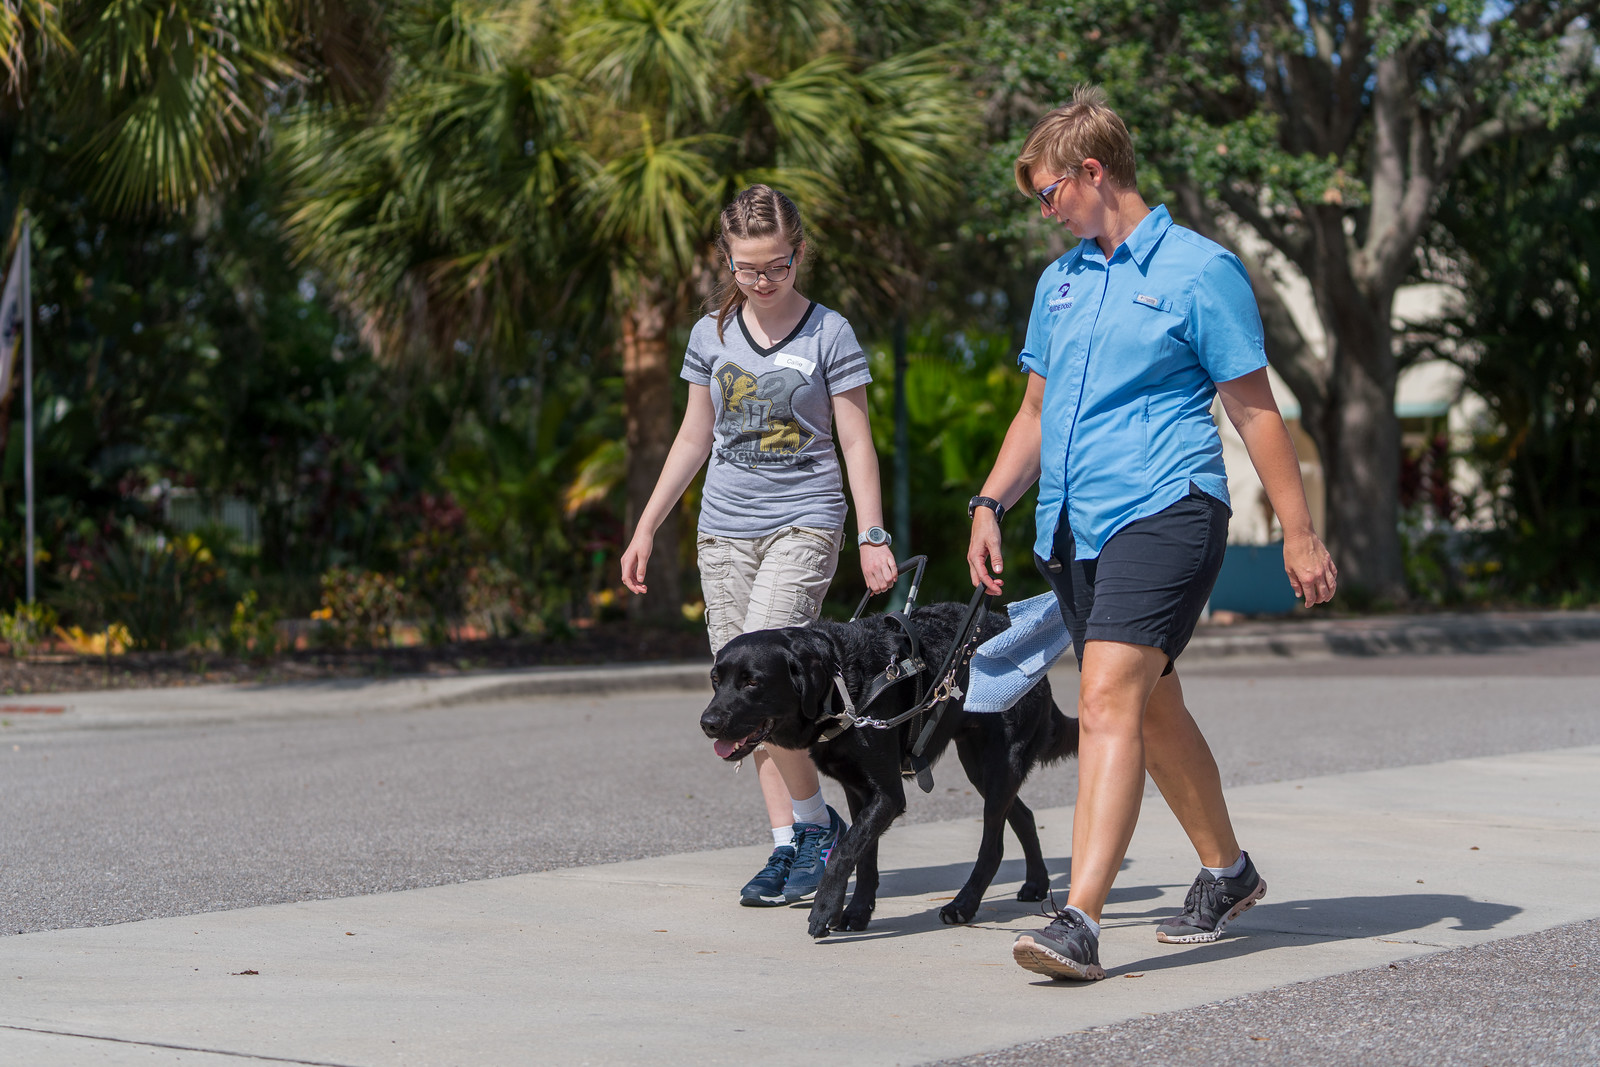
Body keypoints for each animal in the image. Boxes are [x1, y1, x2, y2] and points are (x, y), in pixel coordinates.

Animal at [697, 604, 1075, 940]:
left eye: (752, 682)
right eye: (715, 679)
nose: (708, 723)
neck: (843, 685)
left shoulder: (888, 795)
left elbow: (845, 851)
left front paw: (824, 909)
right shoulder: (859, 791)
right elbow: (863, 856)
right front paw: (856, 912)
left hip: (1000, 764)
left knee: (993, 845)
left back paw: (964, 905)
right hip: (981, 768)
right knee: (1023, 814)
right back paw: (1037, 883)